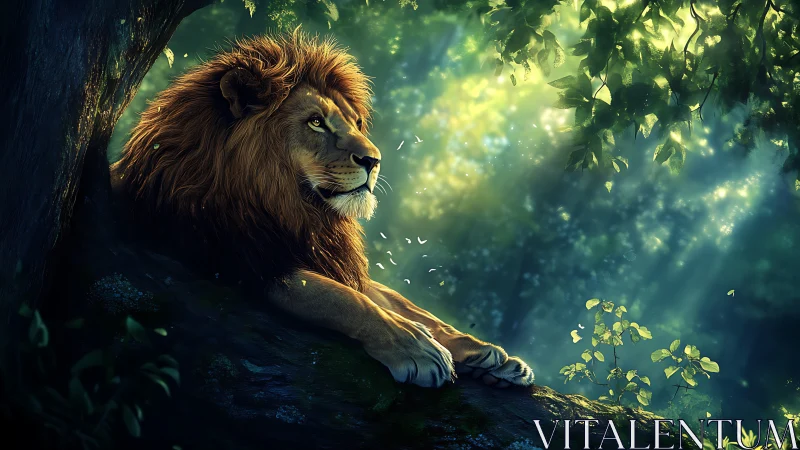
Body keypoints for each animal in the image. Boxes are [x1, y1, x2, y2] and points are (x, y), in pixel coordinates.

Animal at [111, 30, 534, 389]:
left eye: (357, 122)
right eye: (316, 122)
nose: (374, 160)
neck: (295, 207)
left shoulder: (328, 256)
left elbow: (397, 300)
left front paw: (484, 352)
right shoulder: (246, 261)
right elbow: (345, 300)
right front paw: (419, 349)